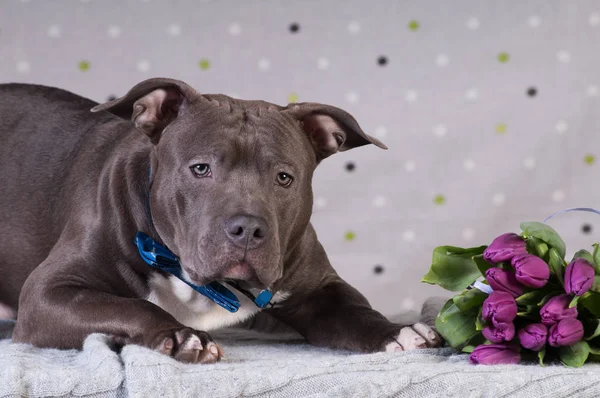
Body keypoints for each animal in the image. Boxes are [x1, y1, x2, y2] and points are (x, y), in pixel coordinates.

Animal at [0, 77, 440, 364]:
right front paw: (180, 336)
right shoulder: (47, 294)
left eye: (284, 177)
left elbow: (354, 309)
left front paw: (397, 330)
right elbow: (129, 306)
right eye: (200, 168)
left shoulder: (320, 288)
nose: (247, 229)